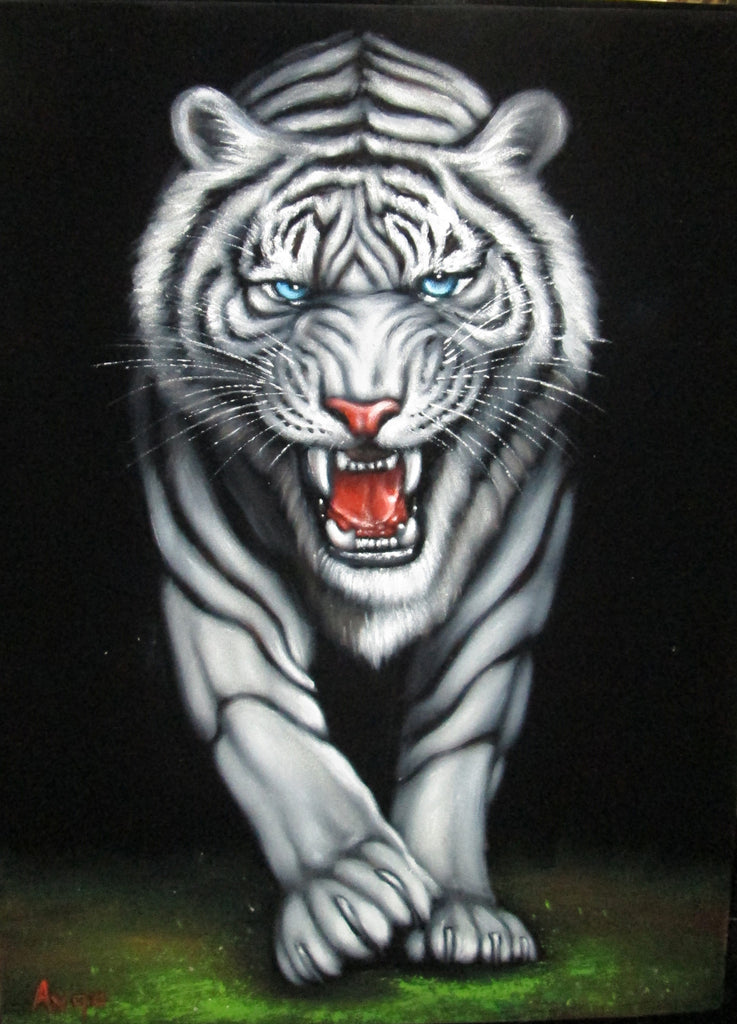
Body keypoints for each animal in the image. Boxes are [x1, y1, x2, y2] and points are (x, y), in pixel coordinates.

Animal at [131, 32, 598, 984]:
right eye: (286, 293)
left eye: (440, 283)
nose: (363, 409)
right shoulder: (212, 574)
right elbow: (267, 724)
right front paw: (349, 892)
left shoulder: (512, 574)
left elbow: (460, 724)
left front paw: (458, 910)